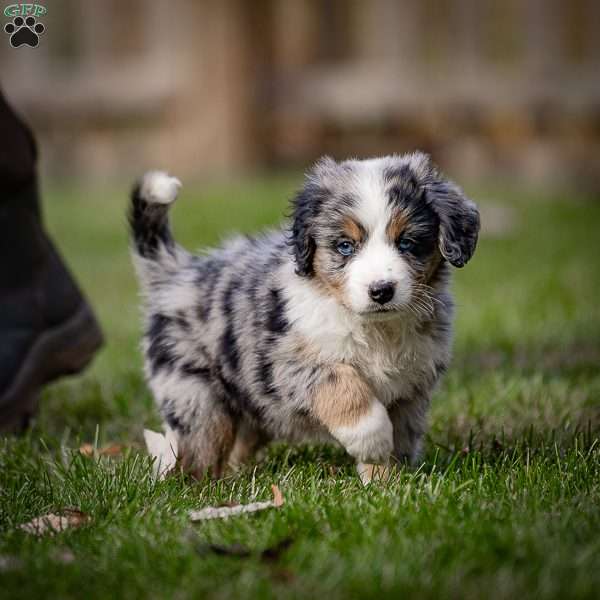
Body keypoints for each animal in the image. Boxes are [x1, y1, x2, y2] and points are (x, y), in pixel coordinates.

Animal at [129, 154, 480, 482]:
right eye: (345, 246)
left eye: (407, 242)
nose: (381, 290)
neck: (376, 330)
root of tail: (179, 273)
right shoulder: (289, 363)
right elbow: (343, 386)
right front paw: (371, 439)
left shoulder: (411, 389)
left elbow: (399, 440)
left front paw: (386, 483)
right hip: (195, 395)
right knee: (200, 447)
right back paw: (195, 487)